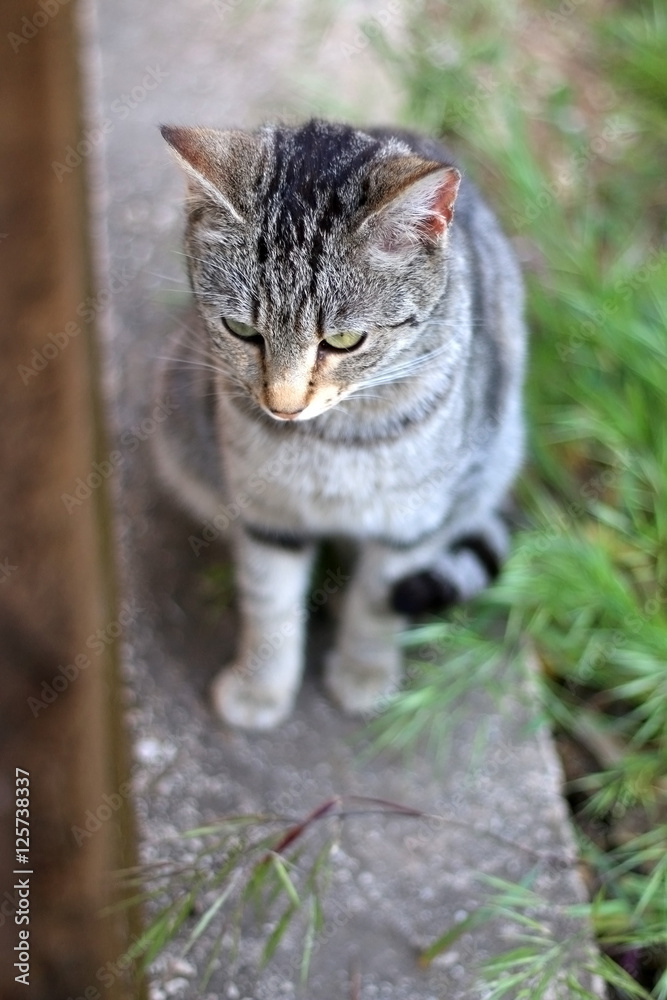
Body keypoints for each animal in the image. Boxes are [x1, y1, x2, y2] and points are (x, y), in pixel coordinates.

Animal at [155, 119, 528, 728]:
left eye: (345, 340)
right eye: (241, 330)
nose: (282, 405)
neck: (331, 438)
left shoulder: (411, 522)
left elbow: (377, 607)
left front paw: (364, 674)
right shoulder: (267, 515)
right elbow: (269, 606)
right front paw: (262, 688)